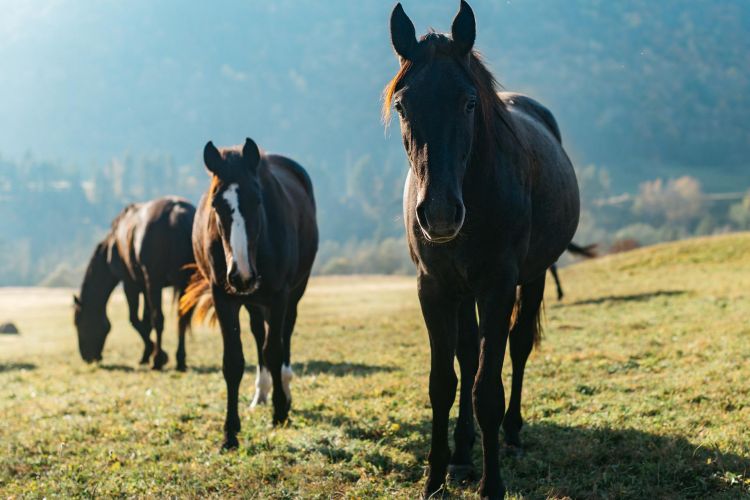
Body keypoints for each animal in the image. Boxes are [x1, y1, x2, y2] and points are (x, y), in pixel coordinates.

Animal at [73, 195, 195, 372]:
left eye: (78, 323)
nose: (87, 357)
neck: (112, 247)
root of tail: (177, 212)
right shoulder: (144, 286)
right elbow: (145, 321)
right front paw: (146, 355)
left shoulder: (130, 284)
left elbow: (135, 320)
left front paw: (158, 354)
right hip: (183, 283)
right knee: (181, 318)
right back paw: (180, 360)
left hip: (154, 282)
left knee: (159, 319)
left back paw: (157, 361)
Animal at [181, 137, 318, 450]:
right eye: (216, 204)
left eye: (257, 199)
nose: (241, 274)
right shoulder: (223, 297)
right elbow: (233, 361)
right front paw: (230, 432)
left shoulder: (279, 295)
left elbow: (275, 350)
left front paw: (280, 412)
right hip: (252, 300)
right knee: (258, 333)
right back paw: (261, 392)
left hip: (295, 291)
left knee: (284, 335)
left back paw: (283, 390)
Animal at [384, 2, 584, 496]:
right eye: (402, 105)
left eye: (469, 102)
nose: (439, 214)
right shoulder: (435, 289)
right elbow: (444, 382)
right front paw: (436, 477)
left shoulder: (498, 286)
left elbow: (487, 389)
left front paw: (492, 484)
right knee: (468, 354)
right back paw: (461, 454)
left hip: (533, 277)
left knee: (518, 346)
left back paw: (511, 434)